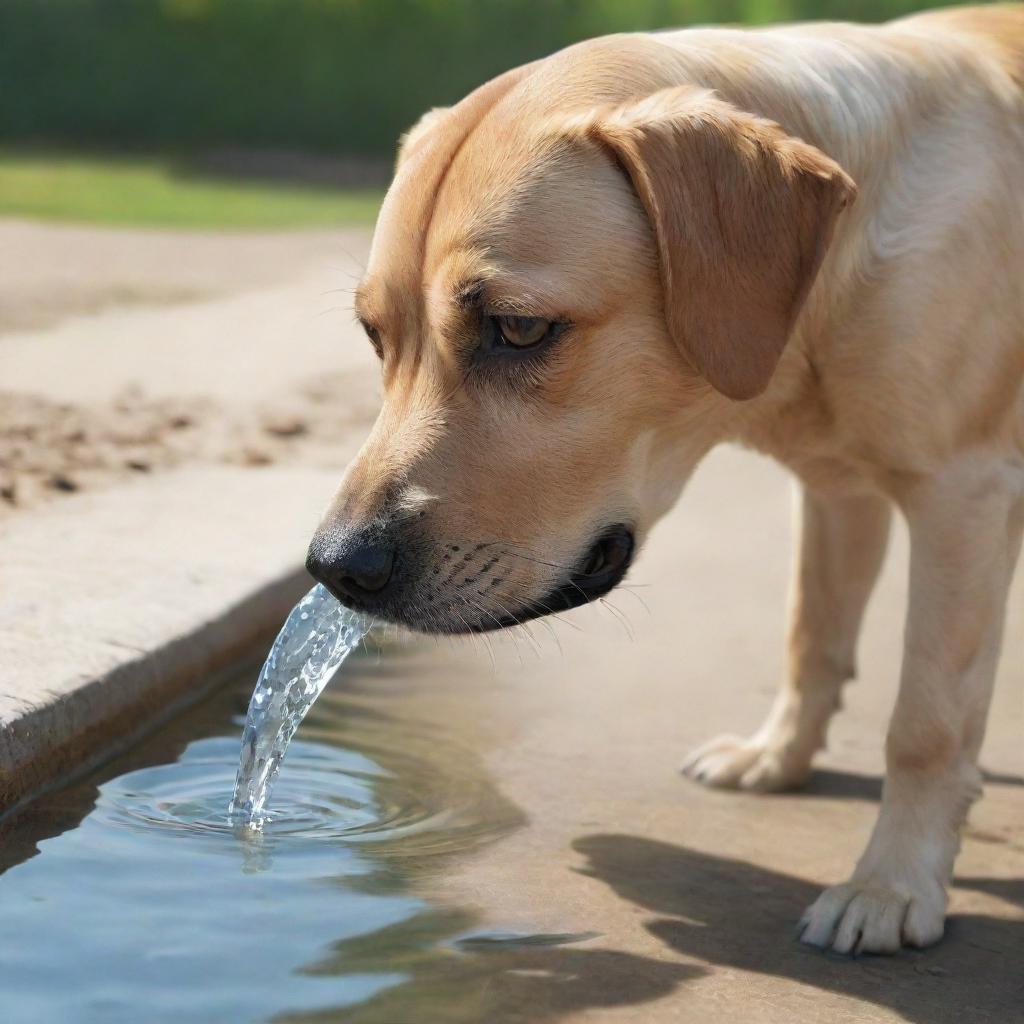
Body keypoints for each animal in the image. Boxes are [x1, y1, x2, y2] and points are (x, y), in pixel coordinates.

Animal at [305, 4, 1024, 954]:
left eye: (519, 328)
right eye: (375, 336)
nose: (335, 568)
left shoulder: (962, 498)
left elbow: (926, 722)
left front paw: (893, 883)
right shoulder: (839, 490)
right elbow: (810, 636)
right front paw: (778, 757)